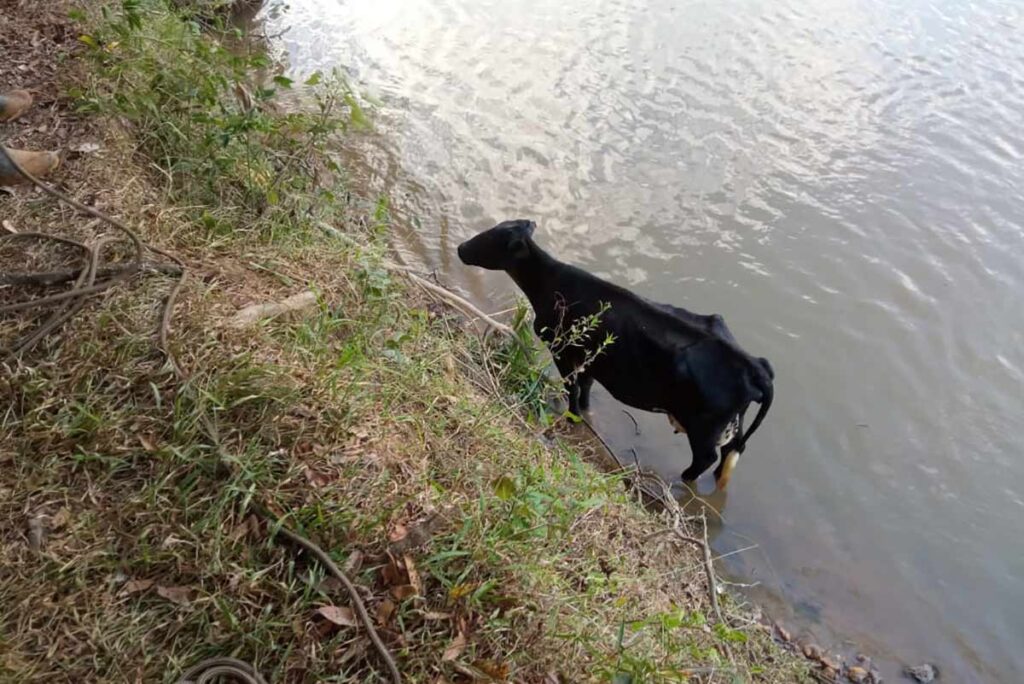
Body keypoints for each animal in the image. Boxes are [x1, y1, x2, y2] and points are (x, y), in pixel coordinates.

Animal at [460, 219, 770, 485]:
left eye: (490, 237)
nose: (461, 248)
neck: (549, 283)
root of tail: (754, 365)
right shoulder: (590, 359)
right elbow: (584, 390)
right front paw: (582, 416)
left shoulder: (563, 351)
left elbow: (572, 388)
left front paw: (571, 417)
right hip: (730, 425)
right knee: (730, 453)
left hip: (704, 430)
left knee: (705, 459)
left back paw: (677, 481)